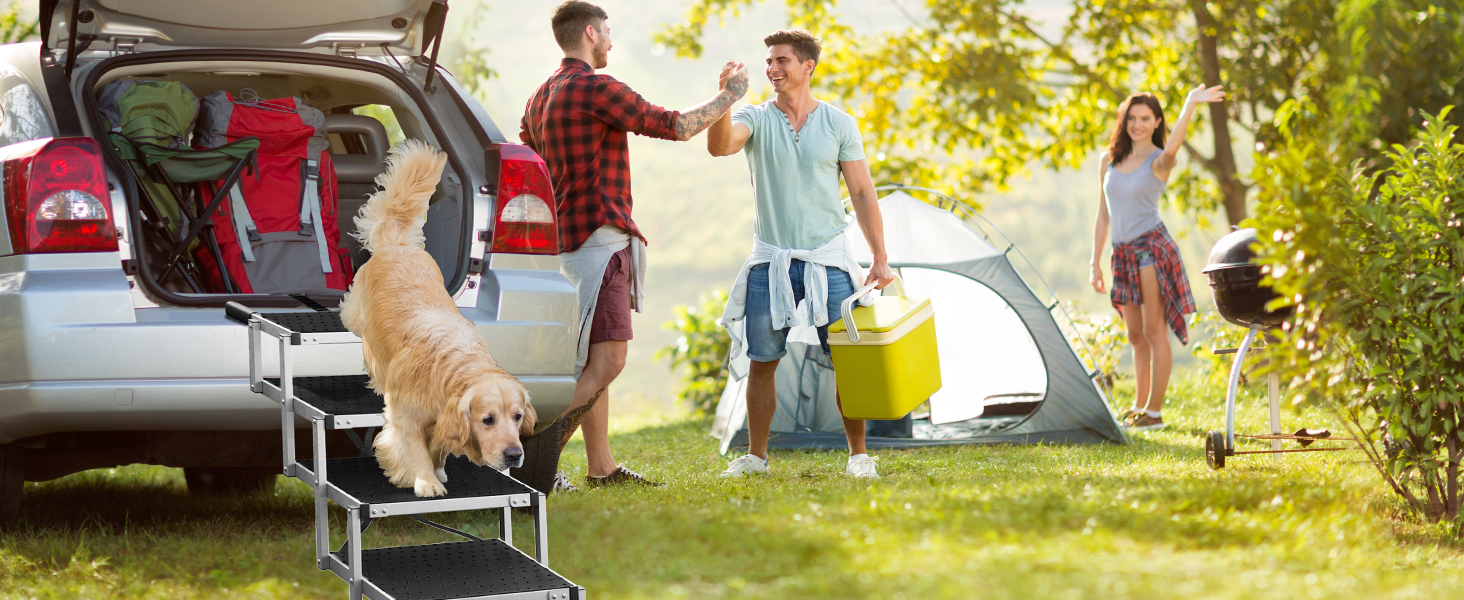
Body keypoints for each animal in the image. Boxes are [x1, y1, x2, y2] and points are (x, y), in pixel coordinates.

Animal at [342, 140, 538, 497]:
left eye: (518, 416)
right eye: (487, 419)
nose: (514, 454)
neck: (449, 372)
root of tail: (400, 244)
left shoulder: (443, 421)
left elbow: (440, 446)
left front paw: (437, 470)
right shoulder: (406, 415)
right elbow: (415, 447)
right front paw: (425, 481)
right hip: (359, 317)